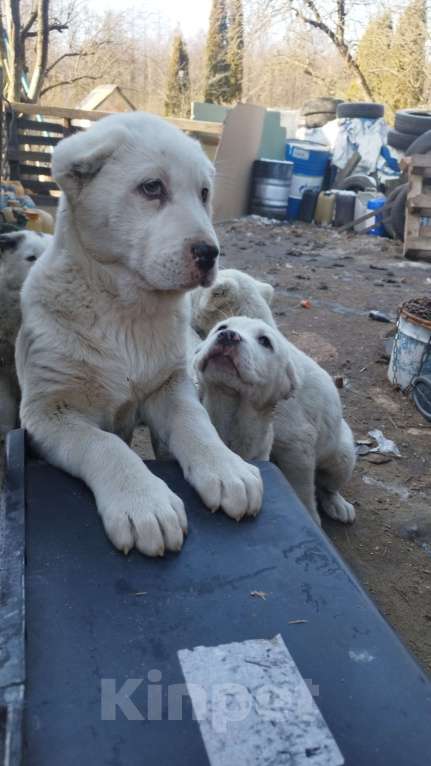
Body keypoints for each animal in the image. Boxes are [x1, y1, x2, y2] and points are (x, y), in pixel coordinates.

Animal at [16, 112, 264, 560]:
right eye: (152, 188)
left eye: (204, 193)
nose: (210, 254)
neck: (126, 311)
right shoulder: (48, 412)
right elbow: (104, 444)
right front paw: (144, 502)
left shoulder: (171, 385)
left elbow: (196, 423)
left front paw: (227, 467)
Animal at [194, 316, 356, 524]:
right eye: (222, 327)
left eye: (265, 341)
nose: (228, 335)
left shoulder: (297, 446)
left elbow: (302, 490)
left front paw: (311, 518)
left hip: (343, 456)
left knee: (328, 486)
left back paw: (338, 505)